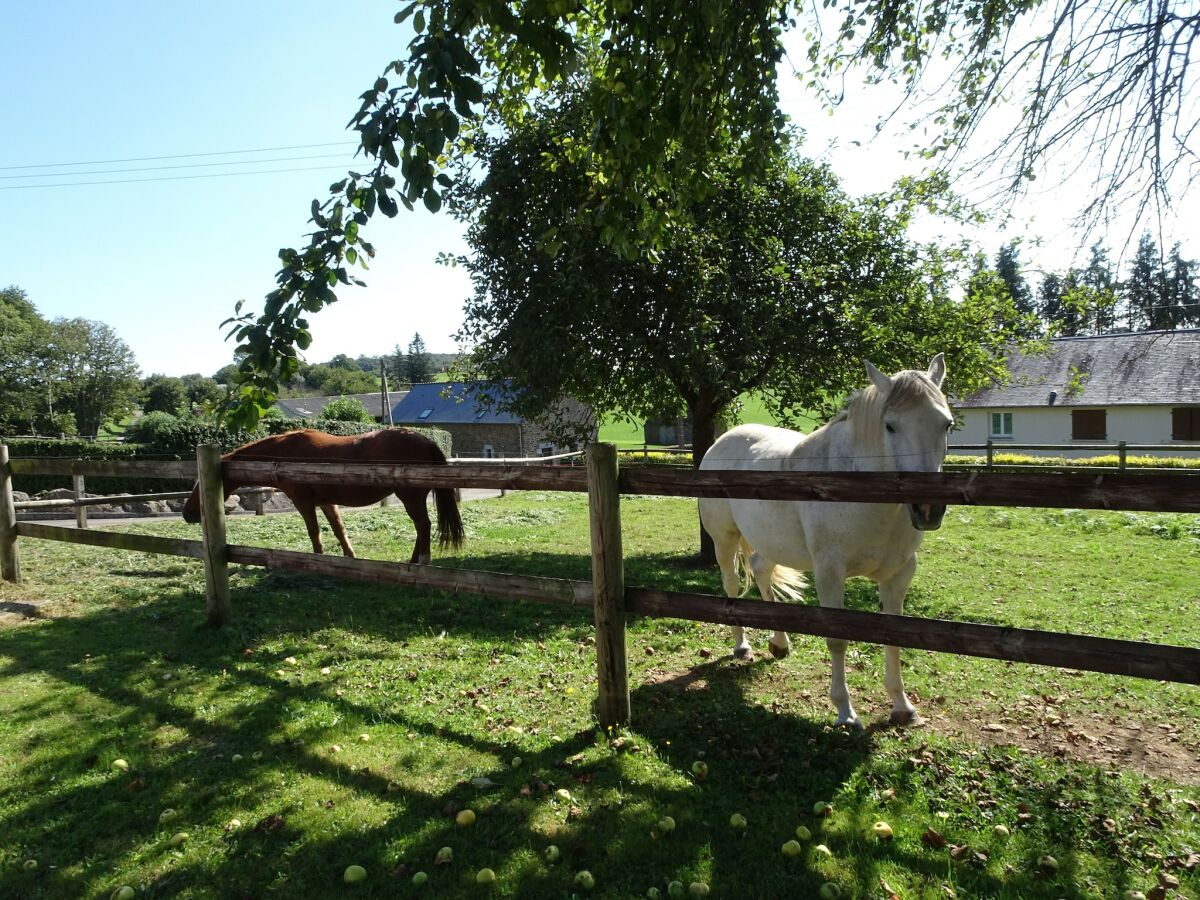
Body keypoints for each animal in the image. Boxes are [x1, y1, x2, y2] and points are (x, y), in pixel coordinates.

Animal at [182, 429, 463, 564]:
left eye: (198, 485)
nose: (187, 514)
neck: (284, 453)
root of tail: (424, 439)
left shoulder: (304, 502)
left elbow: (314, 532)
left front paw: (317, 561)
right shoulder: (328, 503)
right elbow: (339, 530)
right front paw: (350, 558)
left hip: (411, 497)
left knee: (423, 526)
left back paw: (421, 562)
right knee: (421, 528)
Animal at [700, 355, 950, 729]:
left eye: (946, 424)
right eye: (890, 426)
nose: (928, 508)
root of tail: (722, 441)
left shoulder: (899, 574)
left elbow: (894, 636)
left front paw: (902, 707)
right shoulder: (830, 573)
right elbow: (837, 639)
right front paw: (846, 712)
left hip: (772, 542)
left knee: (761, 570)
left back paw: (779, 643)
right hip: (724, 540)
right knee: (731, 585)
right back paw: (742, 646)